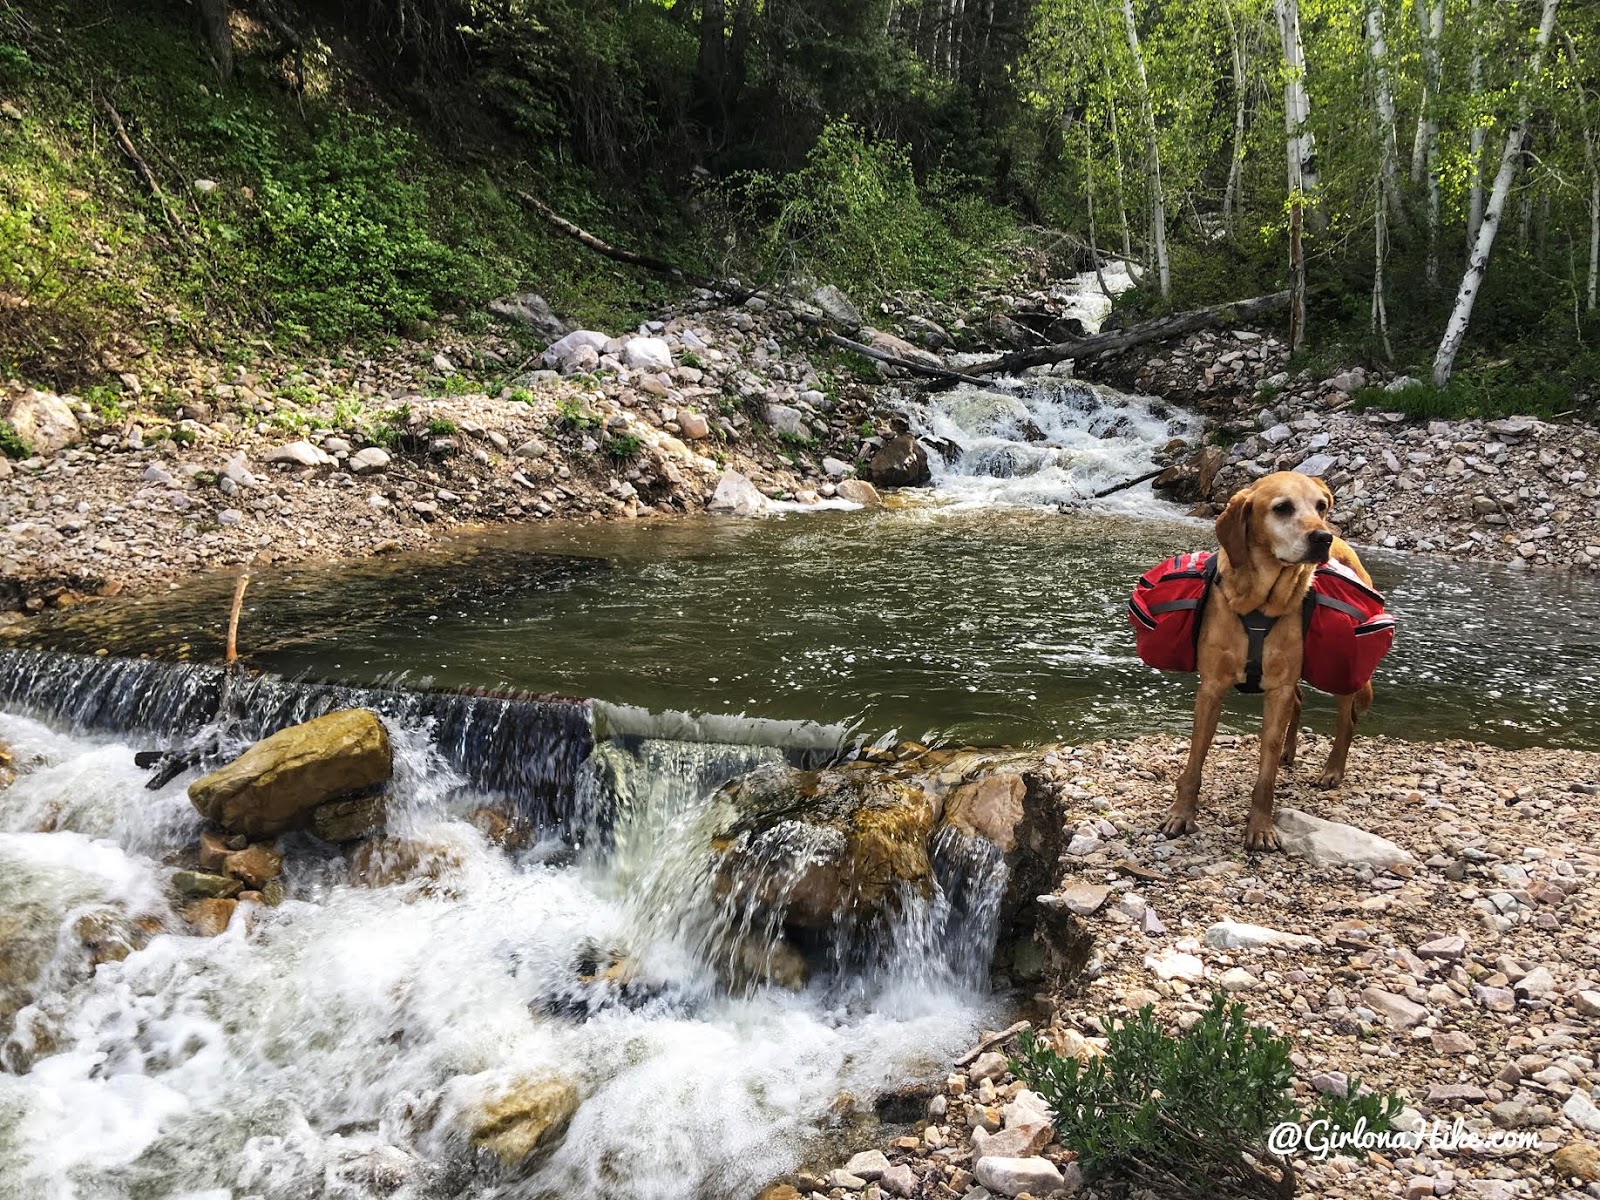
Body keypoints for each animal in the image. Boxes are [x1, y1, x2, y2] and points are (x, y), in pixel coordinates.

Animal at [1164, 470, 1376, 857]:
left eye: (1320, 505)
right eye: (1282, 508)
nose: (1323, 537)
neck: (1259, 604)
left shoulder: (1278, 689)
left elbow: (1266, 775)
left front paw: (1260, 828)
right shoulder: (1212, 687)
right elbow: (1195, 760)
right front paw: (1181, 814)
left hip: (1341, 667)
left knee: (1347, 718)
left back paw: (1332, 770)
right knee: (1301, 701)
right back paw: (1289, 753)